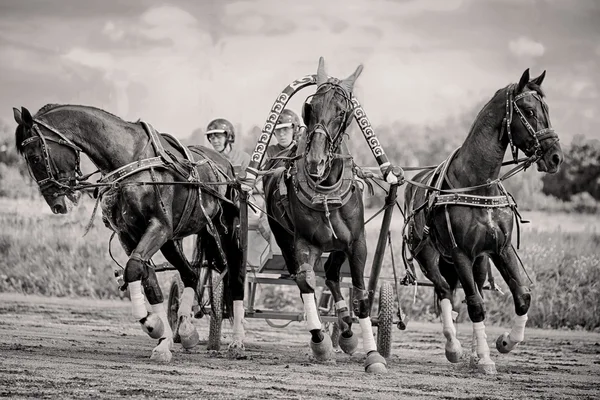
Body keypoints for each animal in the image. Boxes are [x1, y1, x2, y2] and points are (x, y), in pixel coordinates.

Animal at [12, 104, 246, 362]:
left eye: (34, 157)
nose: (57, 204)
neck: (130, 161)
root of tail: (226, 166)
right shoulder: (129, 235)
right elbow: (147, 279)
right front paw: (162, 339)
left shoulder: (159, 227)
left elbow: (133, 269)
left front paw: (150, 322)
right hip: (177, 239)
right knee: (191, 275)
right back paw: (186, 329)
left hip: (225, 231)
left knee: (235, 276)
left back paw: (237, 341)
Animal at [264, 57, 390, 374]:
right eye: (311, 107)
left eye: (342, 111)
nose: (315, 161)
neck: (325, 190)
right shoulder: (304, 244)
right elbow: (306, 283)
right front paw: (319, 343)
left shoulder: (357, 244)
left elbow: (361, 296)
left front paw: (373, 354)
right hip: (286, 239)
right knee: (308, 278)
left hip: (338, 246)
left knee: (333, 275)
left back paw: (346, 330)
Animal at [404, 69, 564, 376]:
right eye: (529, 111)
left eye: (547, 110)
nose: (556, 157)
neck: (478, 185)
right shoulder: (460, 253)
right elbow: (476, 306)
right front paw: (486, 359)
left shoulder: (501, 249)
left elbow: (522, 296)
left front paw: (505, 342)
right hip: (429, 257)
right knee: (445, 290)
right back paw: (453, 346)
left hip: (480, 262)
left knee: (466, 291)